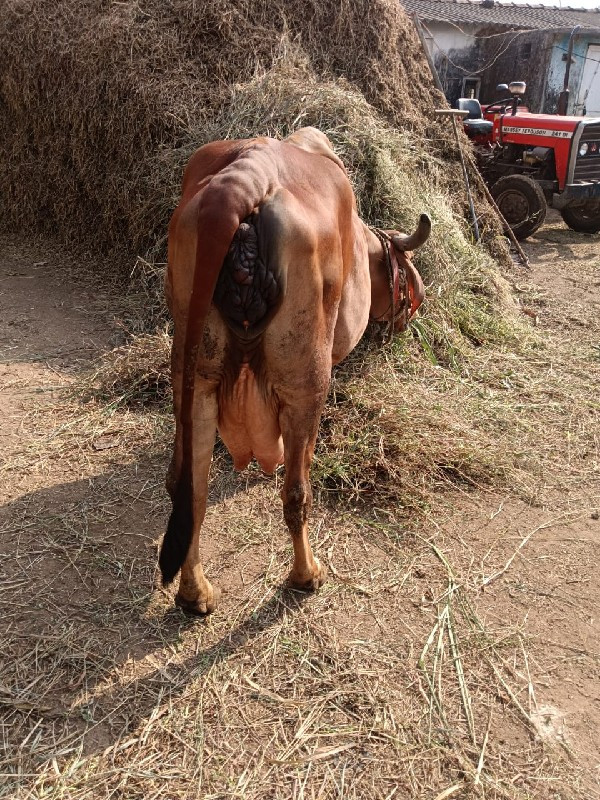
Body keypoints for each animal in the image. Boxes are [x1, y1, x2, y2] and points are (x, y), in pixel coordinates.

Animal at [159, 128, 432, 612]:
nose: (411, 313)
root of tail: (244, 178)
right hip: (305, 378)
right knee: (296, 494)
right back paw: (307, 574)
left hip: (196, 381)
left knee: (189, 487)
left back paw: (196, 593)